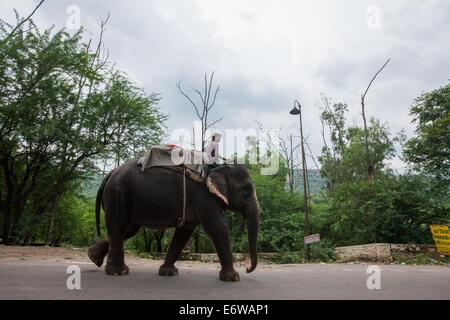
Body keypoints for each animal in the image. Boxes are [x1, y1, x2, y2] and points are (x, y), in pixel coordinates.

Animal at [87, 159, 260, 280]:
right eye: (246, 190)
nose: (247, 269)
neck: (217, 167)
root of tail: (110, 173)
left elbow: (185, 231)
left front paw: (169, 273)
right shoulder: (204, 197)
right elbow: (218, 227)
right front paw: (233, 278)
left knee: (127, 230)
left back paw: (93, 258)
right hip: (118, 195)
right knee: (120, 228)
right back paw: (118, 272)